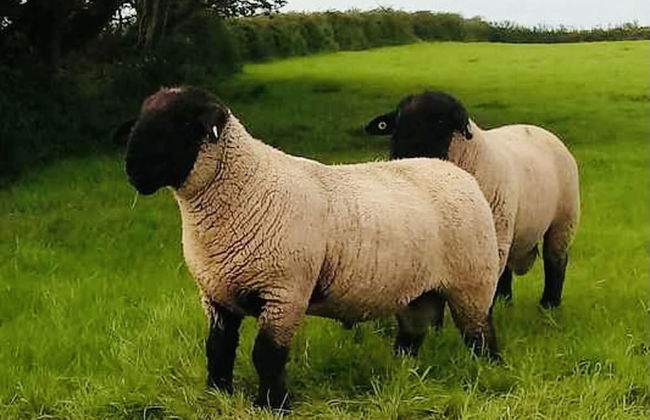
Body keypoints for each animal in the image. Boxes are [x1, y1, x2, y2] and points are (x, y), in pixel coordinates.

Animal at [122, 86, 501, 410]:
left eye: (184, 123)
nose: (133, 171)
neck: (243, 187)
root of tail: (454, 171)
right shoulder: (216, 293)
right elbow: (218, 349)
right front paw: (218, 395)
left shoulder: (284, 292)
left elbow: (266, 354)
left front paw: (272, 405)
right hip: (417, 290)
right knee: (412, 332)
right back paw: (403, 372)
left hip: (473, 282)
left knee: (480, 334)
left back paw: (489, 371)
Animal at [365, 91, 580, 308]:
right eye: (398, 121)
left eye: (440, 121)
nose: (402, 155)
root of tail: (538, 129)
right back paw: (504, 299)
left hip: (563, 219)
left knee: (555, 260)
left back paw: (549, 303)